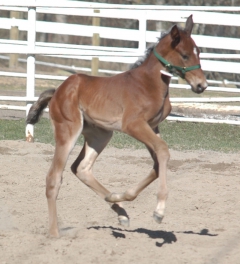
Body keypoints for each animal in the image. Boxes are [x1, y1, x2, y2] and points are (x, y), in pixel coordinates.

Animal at [26, 14, 206, 237]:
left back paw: (119, 210)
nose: (202, 85)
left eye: (198, 52)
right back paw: (55, 234)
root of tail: (58, 90)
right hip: (68, 131)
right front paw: (159, 211)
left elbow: (157, 164)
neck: (149, 83)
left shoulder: (152, 127)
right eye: (184, 55)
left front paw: (118, 196)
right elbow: (163, 151)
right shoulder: (134, 125)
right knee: (54, 177)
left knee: (82, 168)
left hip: (100, 135)